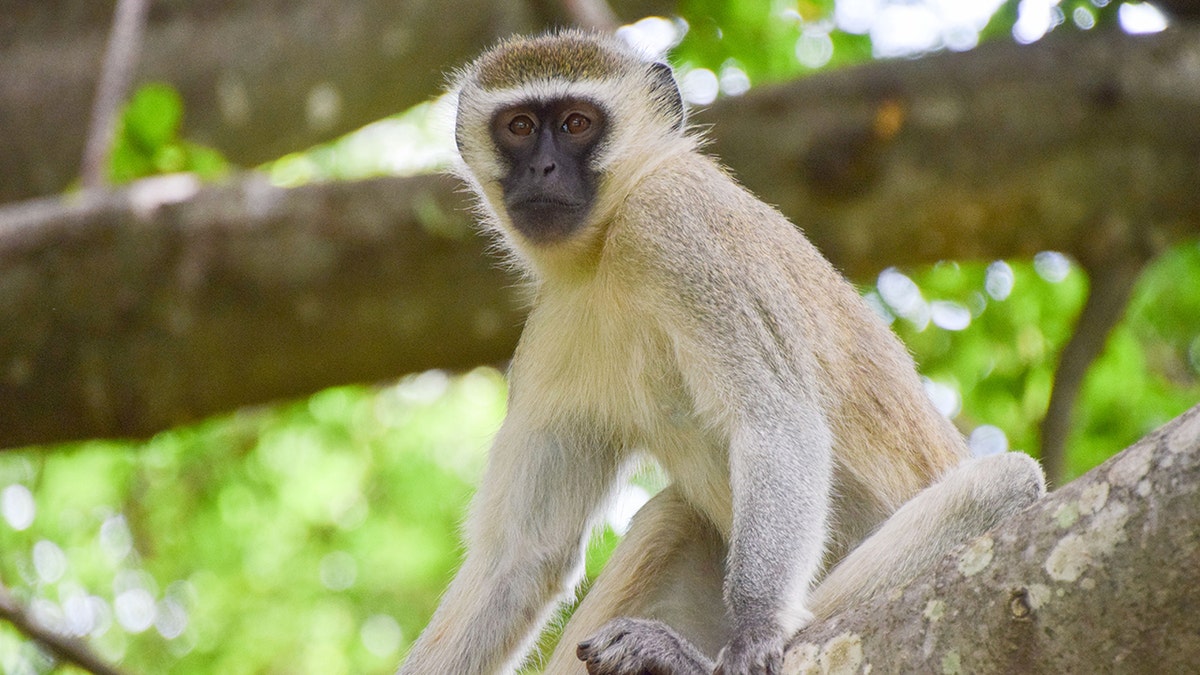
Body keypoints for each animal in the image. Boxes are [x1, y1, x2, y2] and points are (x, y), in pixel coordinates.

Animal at [397, 30, 1046, 675]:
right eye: (520, 126)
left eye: (577, 123)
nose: (543, 167)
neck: (605, 250)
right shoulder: (550, 334)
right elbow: (521, 560)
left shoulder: (679, 225)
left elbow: (778, 421)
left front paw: (755, 629)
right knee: (672, 518)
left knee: (1009, 484)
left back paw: (688, 660)